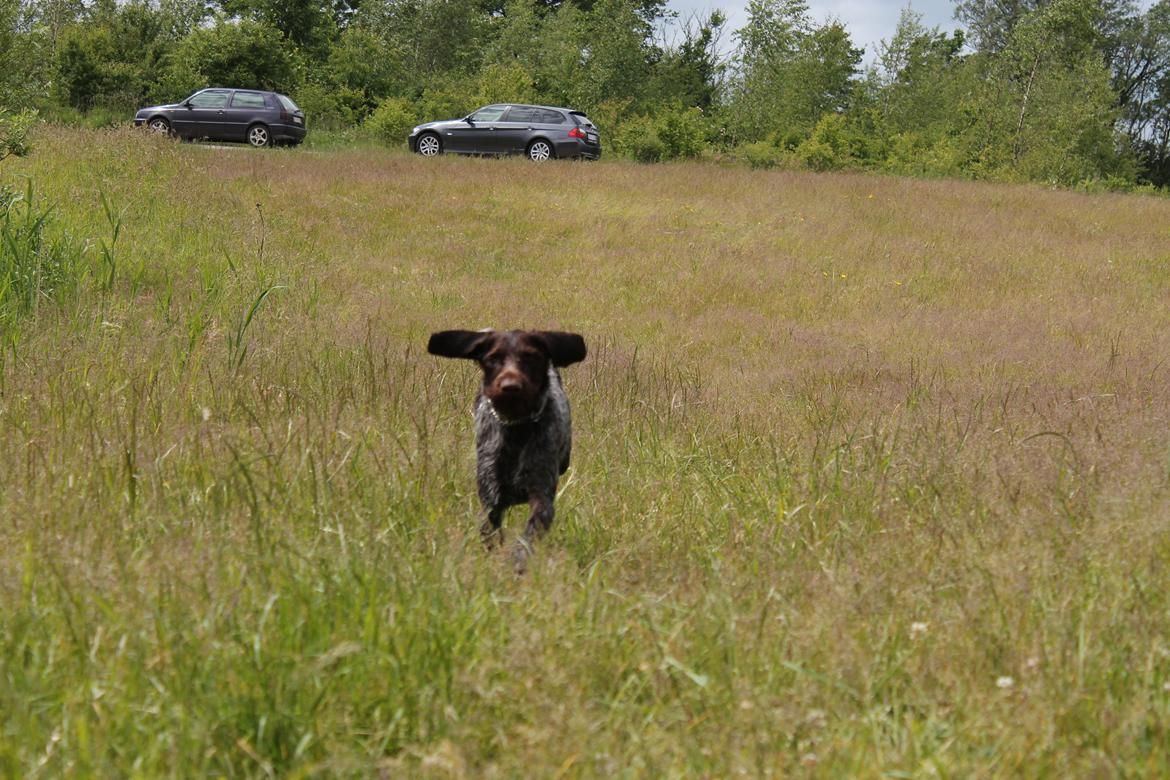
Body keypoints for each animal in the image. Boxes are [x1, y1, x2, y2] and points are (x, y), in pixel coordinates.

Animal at [430, 327, 589, 570]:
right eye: (493, 358)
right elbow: (490, 534)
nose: (510, 387)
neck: (517, 428)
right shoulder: (491, 499)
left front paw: (519, 562)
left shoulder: (541, 495)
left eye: (531, 357)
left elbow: (528, 536)